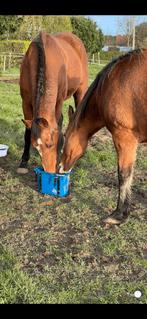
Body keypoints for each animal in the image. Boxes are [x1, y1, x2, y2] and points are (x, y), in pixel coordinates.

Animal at [17, 31, 88, 174]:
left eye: (50, 144)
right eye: (35, 146)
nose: (50, 171)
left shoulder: (59, 101)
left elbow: (58, 123)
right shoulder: (25, 102)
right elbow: (27, 132)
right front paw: (24, 161)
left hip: (81, 91)